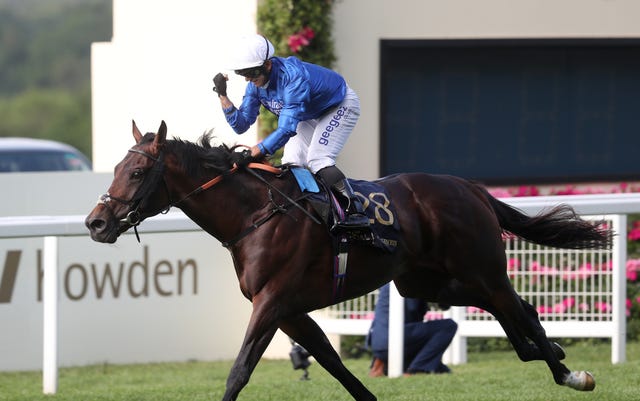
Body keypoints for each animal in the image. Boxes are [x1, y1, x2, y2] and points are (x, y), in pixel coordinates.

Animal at [85, 120, 608, 398]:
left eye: (137, 172)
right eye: (116, 168)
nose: (96, 223)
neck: (255, 214)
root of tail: (470, 187)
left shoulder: (272, 302)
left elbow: (240, 370)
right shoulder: (290, 310)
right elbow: (331, 359)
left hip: (479, 265)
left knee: (515, 305)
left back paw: (568, 371)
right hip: (425, 281)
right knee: (509, 307)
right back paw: (547, 348)